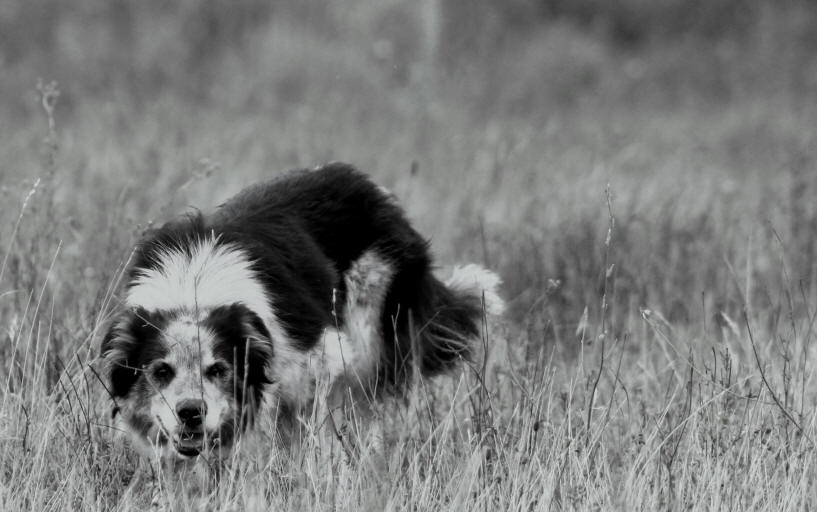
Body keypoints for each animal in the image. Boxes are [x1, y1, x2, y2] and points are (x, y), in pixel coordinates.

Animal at [99, 163, 500, 464]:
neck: (194, 290)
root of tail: (370, 188)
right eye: (161, 372)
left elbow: (310, 429)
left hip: (368, 334)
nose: (191, 413)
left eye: (218, 370)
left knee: (364, 404)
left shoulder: (323, 356)